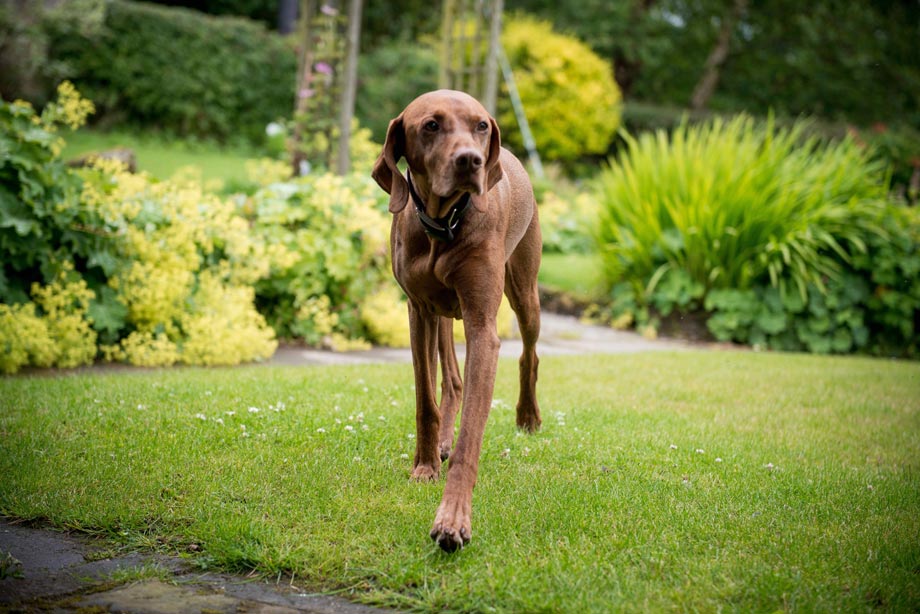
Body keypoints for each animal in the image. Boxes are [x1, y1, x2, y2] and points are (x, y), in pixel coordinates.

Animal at [370, 88, 540, 552]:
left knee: (530, 354)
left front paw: (453, 519)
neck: (444, 224)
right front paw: (426, 465)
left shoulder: (482, 324)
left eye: (481, 125)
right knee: (451, 379)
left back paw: (528, 415)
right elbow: (425, 401)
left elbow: (470, 440)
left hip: (525, 292)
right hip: (443, 315)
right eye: (431, 125)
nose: (471, 161)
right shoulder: (418, 311)